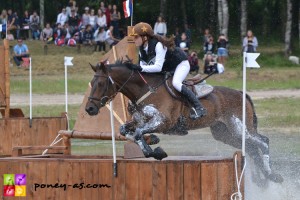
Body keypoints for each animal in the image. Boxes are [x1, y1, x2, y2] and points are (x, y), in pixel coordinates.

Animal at [85, 60, 284, 184]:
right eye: (91, 83)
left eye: (101, 84)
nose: (90, 109)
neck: (145, 90)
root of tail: (242, 94)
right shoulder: (138, 121)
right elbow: (128, 131)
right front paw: (155, 150)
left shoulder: (163, 121)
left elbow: (139, 133)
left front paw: (154, 149)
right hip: (224, 133)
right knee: (252, 149)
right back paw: (266, 177)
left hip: (239, 128)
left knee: (263, 141)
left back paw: (272, 175)